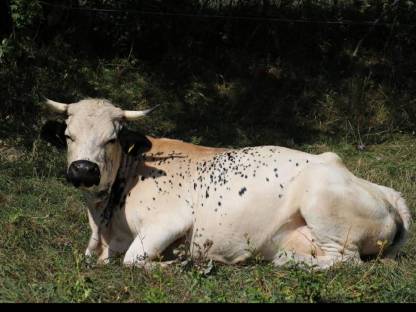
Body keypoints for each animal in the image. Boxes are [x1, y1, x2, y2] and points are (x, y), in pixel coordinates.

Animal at [40, 98, 412, 270]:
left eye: (112, 138)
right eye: (69, 136)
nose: (83, 170)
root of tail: (383, 190)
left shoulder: (171, 220)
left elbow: (133, 260)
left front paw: (177, 262)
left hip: (323, 208)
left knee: (343, 260)